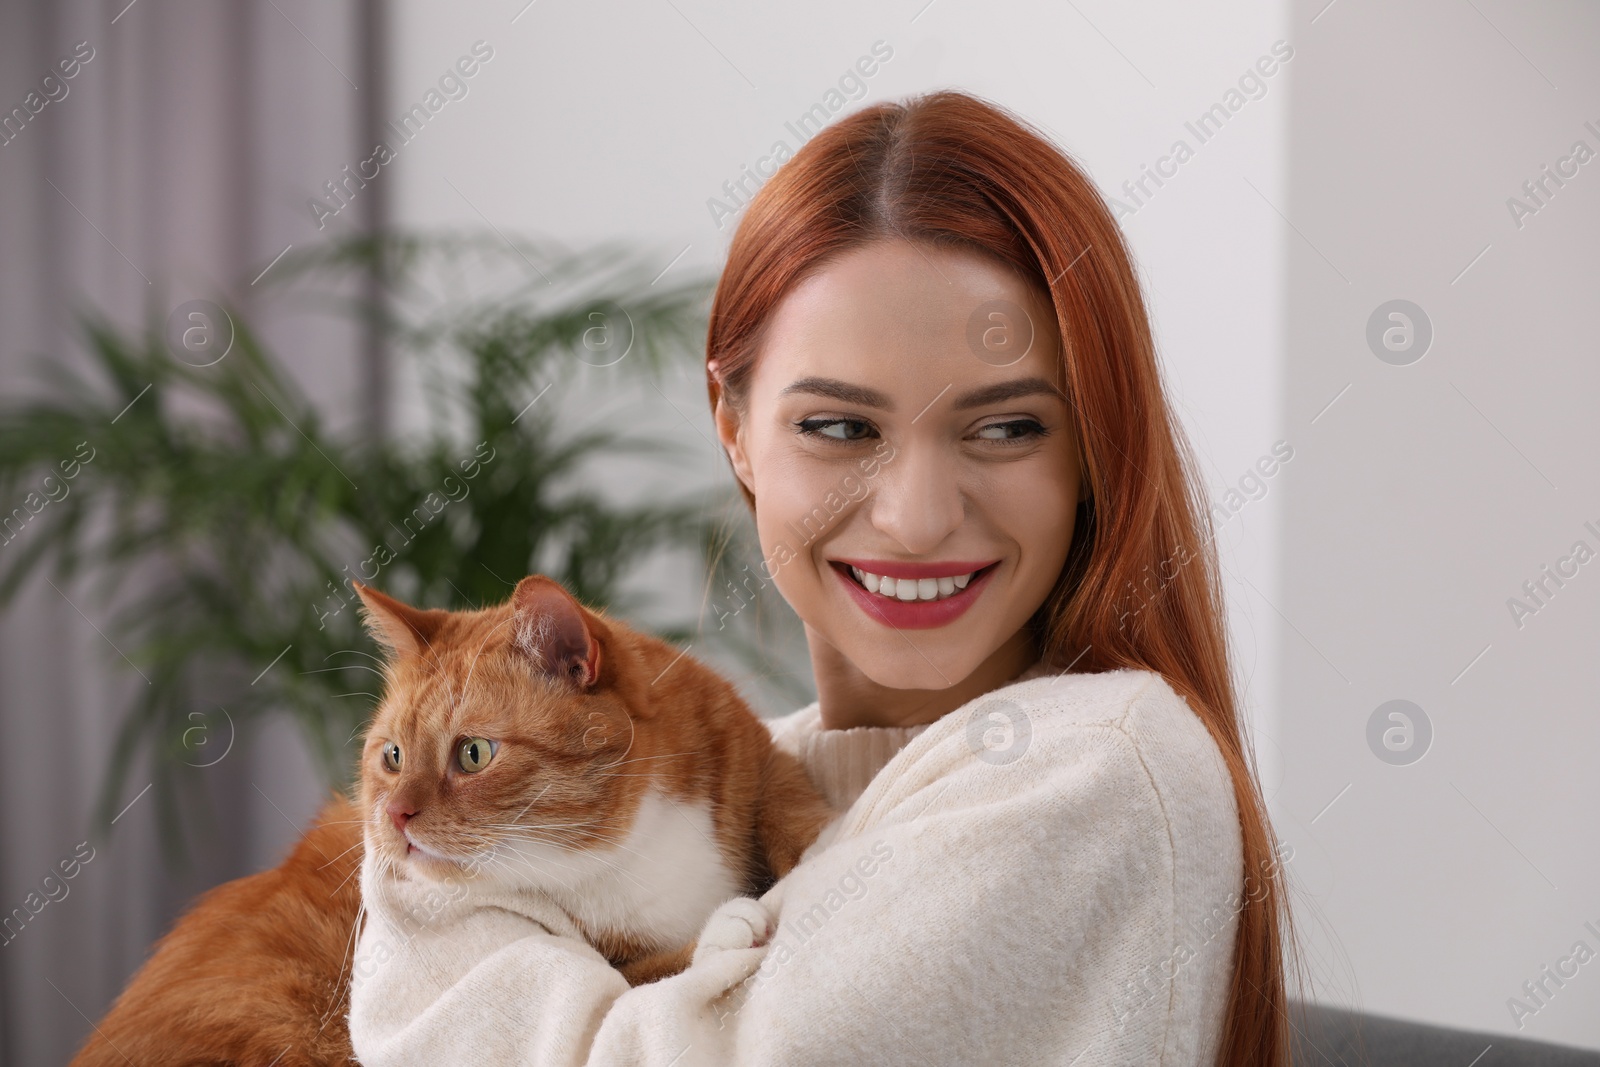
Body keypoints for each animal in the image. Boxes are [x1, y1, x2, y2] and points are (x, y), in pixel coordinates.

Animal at [65, 575, 838, 1067]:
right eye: (392, 755)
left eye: (473, 753)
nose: (392, 813)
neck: (629, 844)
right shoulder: (604, 969)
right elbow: (638, 979)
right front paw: (726, 929)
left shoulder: (753, 751)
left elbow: (790, 802)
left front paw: (817, 840)